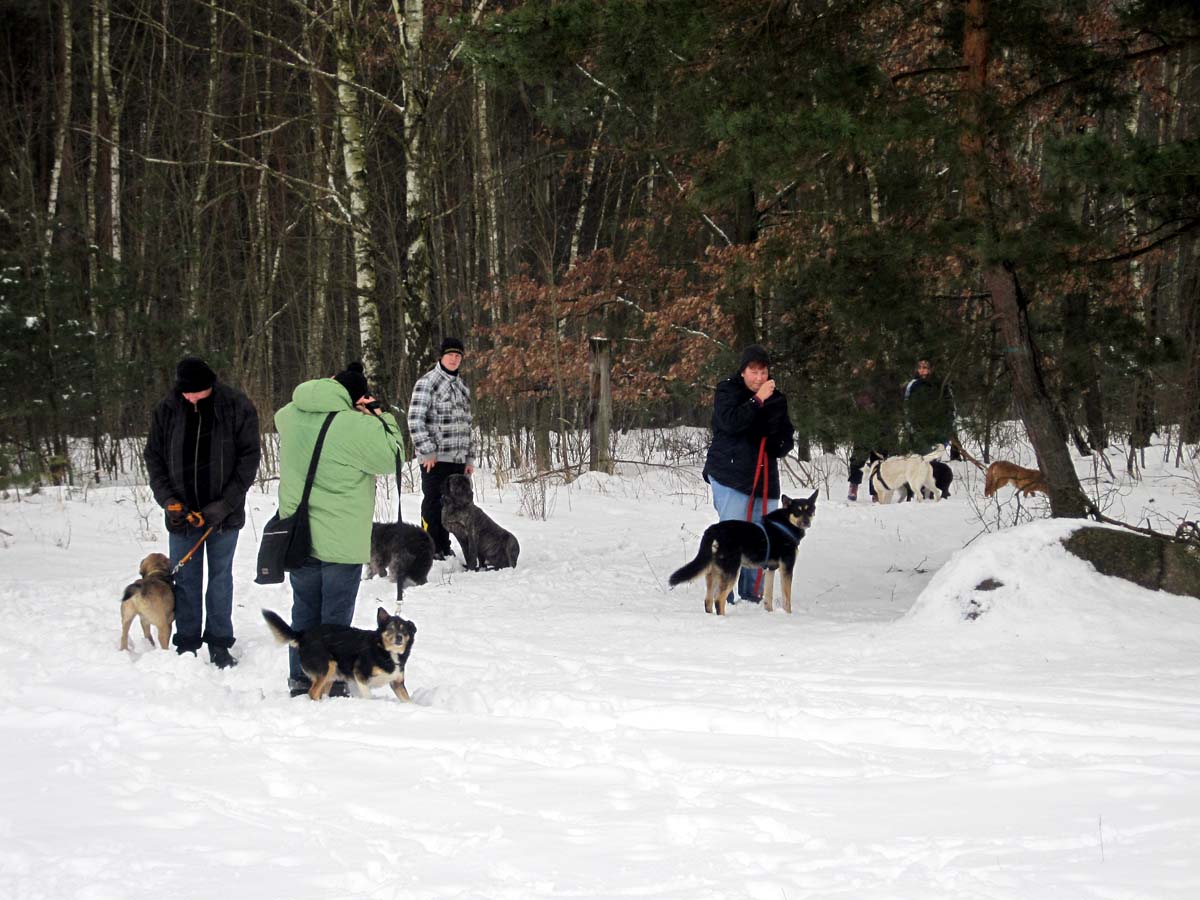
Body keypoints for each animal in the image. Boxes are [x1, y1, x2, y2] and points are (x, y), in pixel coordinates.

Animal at [262, 607, 416, 701]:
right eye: (390, 628)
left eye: (404, 630)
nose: (399, 637)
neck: (385, 650)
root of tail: (303, 634)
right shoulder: (360, 675)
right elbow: (368, 695)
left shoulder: (397, 683)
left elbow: (407, 700)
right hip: (326, 666)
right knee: (312, 692)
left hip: (330, 675)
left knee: (320, 692)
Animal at [669, 491, 817, 616]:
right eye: (797, 511)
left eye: (809, 510)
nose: (806, 522)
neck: (786, 524)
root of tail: (712, 530)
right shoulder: (787, 567)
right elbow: (787, 598)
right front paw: (789, 616)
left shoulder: (771, 568)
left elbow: (768, 596)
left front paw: (769, 614)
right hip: (731, 571)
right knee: (719, 599)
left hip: (713, 572)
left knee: (708, 600)